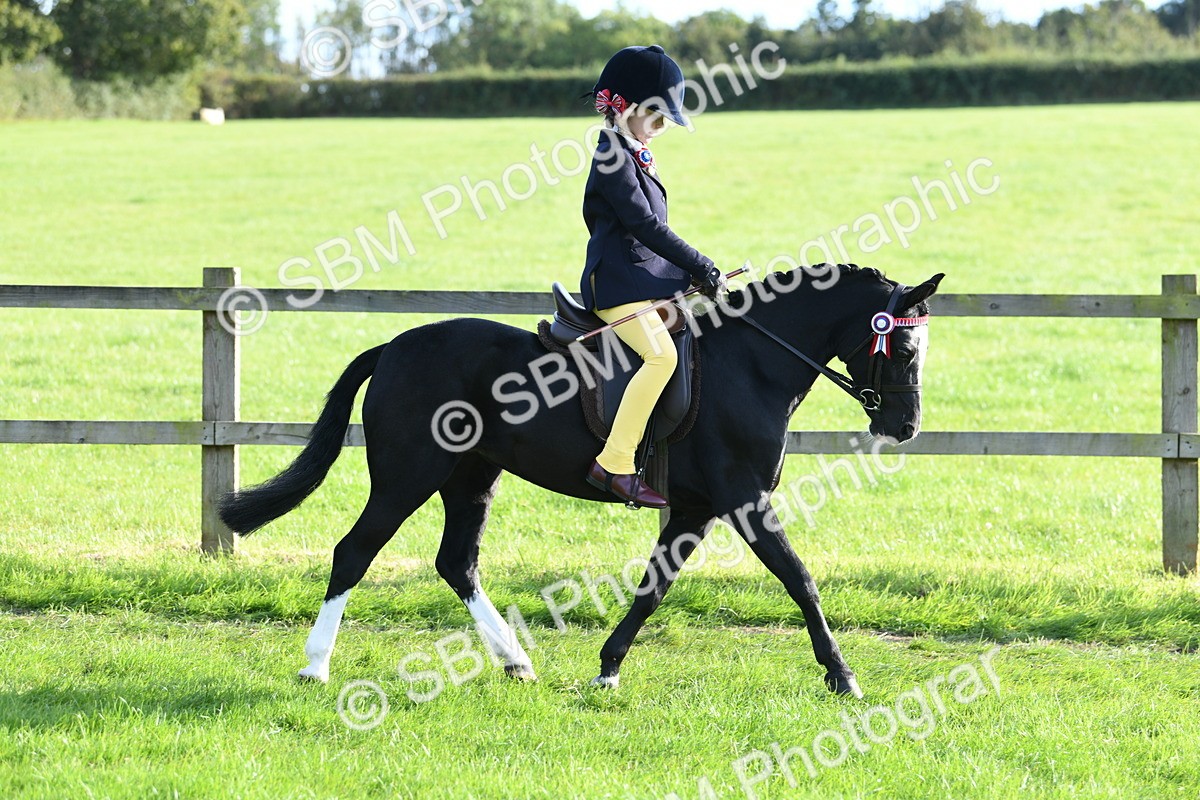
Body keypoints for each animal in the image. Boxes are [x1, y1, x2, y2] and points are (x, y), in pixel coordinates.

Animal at [219, 264, 943, 698]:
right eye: (904, 347)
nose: (905, 426)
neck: (754, 363)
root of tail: (395, 346)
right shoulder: (744, 501)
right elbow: (800, 580)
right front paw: (842, 676)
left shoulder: (694, 510)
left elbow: (653, 589)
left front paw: (608, 667)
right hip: (408, 475)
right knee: (354, 552)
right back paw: (315, 665)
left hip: (470, 477)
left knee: (457, 563)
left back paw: (515, 661)